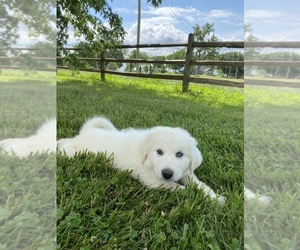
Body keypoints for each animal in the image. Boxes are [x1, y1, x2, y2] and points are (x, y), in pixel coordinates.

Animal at [57, 117, 224, 203]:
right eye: (159, 152)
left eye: (179, 154)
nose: (167, 173)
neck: (148, 159)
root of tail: (87, 131)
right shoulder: (151, 179)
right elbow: (178, 187)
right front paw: (194, 195)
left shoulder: (185, 172)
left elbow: (199, 184)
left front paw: (215, 198)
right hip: (77, 151)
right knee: (67, 146)